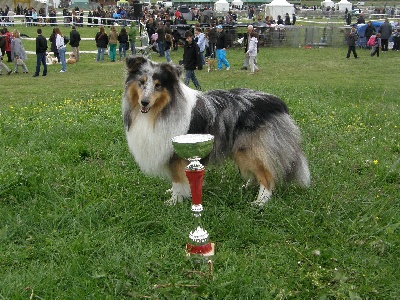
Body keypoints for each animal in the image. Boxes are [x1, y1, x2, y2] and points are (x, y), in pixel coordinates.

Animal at [123, 56, 310, 206]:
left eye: (158, 85)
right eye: (141, 82)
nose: (144, 102)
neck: (160, 110)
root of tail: (277, 103)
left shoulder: (175, 155)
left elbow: (177, 179)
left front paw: (174, 201)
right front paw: (177, 194)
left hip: (250, 149)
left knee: (267, 175)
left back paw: (260, 201)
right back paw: (246, 188)